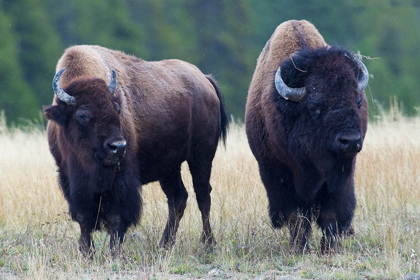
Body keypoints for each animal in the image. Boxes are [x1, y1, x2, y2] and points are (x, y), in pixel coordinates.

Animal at [43, 44, 226, 255]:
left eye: (117, 109)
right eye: (83, 115)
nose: (118, 147)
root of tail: (204, 80)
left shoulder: (121, 180)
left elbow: (116, 217)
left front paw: (115, 252)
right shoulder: (71, 180)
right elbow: (83, 218)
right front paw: (87, 252)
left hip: (201, 157)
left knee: (203, 196)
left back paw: (208, 244)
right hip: (170, 168)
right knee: (178, 198)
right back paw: (165, 245)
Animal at [244, 18, 370, 253]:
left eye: (357, 101)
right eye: (314, 107)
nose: (350, 141)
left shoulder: (341, 177)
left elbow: (332, 214)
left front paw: (329, 249)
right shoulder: (277, 172)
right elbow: (296, 216)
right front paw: (299, 248)